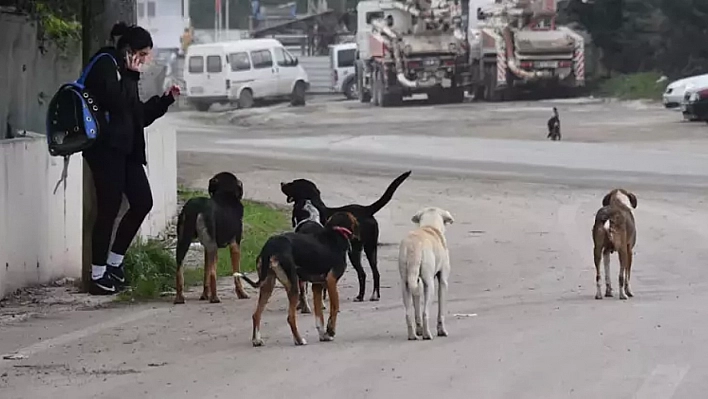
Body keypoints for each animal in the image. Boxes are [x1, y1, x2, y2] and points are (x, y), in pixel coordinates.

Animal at [175, 170, 250, 304]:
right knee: (213, 274)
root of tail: (196, 207)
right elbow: (236, 274)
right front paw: (241, 293)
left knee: (179, 269)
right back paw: (215, 298)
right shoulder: (235, 244)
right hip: (212, 247)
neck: (225, 194)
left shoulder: (206, 248)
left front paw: (205, 295)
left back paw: (179, 297)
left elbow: (206, 272)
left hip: (183, 242)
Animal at [238, 212, 360, 346]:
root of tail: (270, 246)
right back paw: (299, 340)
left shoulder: (317, 286)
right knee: (290, 317)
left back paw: (257, 340)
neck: (336, 233)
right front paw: (330, 330)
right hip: (293, 285)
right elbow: (335, 307)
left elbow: (319, 316)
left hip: (268, 284)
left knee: (256, 314)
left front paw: (323, 335)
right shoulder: (331, 281)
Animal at [280, 170, 412, 304]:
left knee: (363, 273)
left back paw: (361, 296)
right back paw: (372, 295)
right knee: (374, 272)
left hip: (355, 251)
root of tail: (366, 210)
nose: (282, 183)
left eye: (293, 183)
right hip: (370, 248)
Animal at [398, 206, 454, 340]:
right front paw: (442, 331)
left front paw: (419, 330)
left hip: (405, 283)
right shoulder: (443, 282)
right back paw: (427, 334)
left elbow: (417, 308)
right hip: (429, 284)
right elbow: (441, 311)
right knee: (425, 312)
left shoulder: (416, 281)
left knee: (408, 313)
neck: (430, 226)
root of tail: (413, 246)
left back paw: (413, 335)